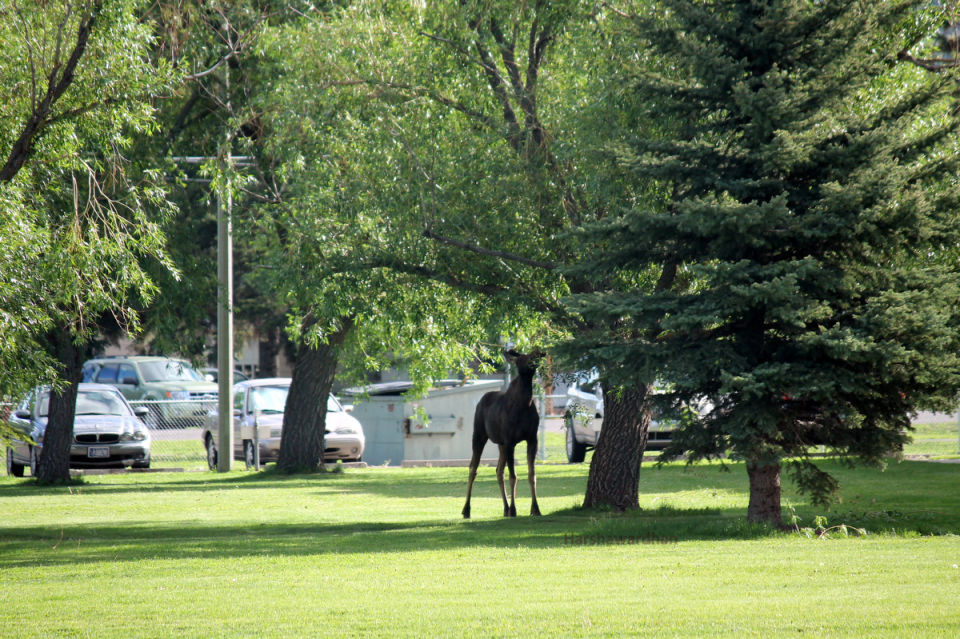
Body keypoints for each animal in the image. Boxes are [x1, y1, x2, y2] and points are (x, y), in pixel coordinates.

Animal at [462, 349, 544, 518]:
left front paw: (535, 508)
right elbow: (514, 476)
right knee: (473, 468)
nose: (539, 352)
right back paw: (466, 509)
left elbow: (531, 475)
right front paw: (514, 509)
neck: (525, 404)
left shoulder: (532, 439)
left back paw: (505, 508)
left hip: (500, 444)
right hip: (479, 435)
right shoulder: (510, 441)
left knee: (498, 471)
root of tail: (481, 400)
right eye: (523, 357)